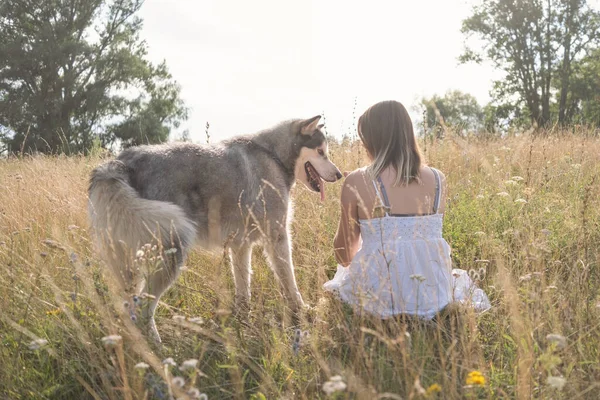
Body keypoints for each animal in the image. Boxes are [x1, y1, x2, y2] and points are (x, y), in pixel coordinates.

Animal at [88, 115, 342, 340]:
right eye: (321, 151)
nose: (339, 175)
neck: (273, 155)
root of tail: (121, 162)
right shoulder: (277, 238)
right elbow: (290, 283)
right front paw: (302, 310)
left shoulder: (240, 247)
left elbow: (243, 290)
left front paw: (244, 324)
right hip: (169, 254)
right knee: (144, 310)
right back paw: (158, 350)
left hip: (130, 267)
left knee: (129, 307)